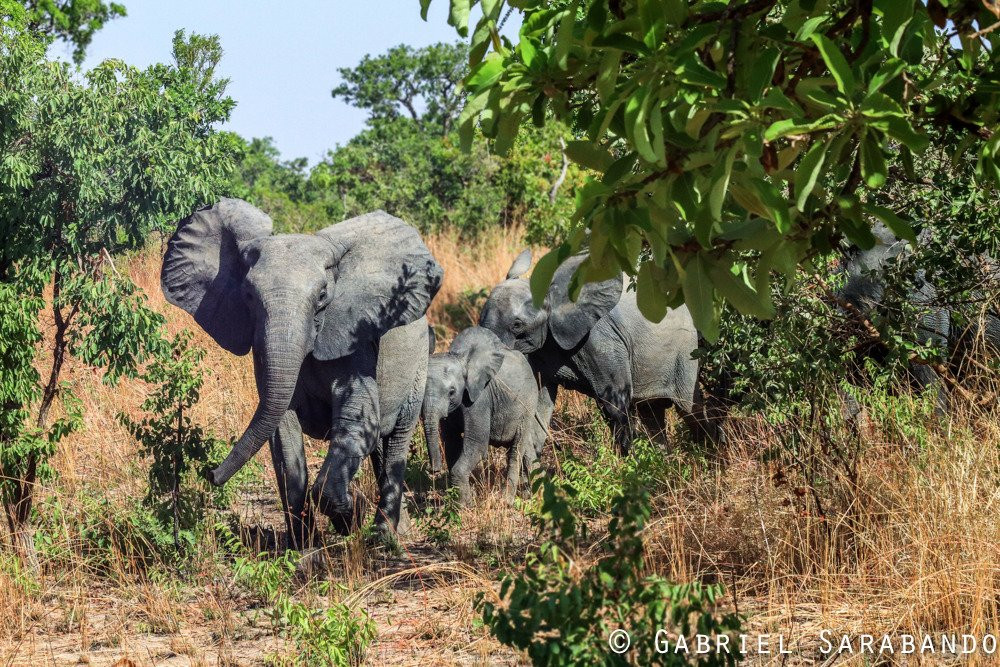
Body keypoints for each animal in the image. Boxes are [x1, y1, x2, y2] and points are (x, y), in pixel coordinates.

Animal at [160, 198, 442, 548]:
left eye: (322, 296)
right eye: (249, 296)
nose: (210, 474)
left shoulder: (356, 336)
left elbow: (356, 417)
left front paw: (350, 519)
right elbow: (282, 435)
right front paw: (304, 548)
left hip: (418, 362)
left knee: (396, 440)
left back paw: (383, 535)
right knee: (378, 445)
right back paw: (396, 529)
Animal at [422, 326, 548, 504]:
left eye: (451, 392)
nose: (434, 470)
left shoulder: (480, 398)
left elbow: (477, 444)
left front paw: (464, 506)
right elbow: (451, 442)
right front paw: (463, 500)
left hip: (528, 403)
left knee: (515, 451)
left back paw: (507, 501)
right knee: (526, 450)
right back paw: (534, 496)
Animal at [478, 250, 720, 454]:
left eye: (517, 324)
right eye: (480, 318)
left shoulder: (600, 339)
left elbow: (613, 403)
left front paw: (626, 468)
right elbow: (539, 405)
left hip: (685, 353)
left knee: (689, 409)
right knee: (651, 413)